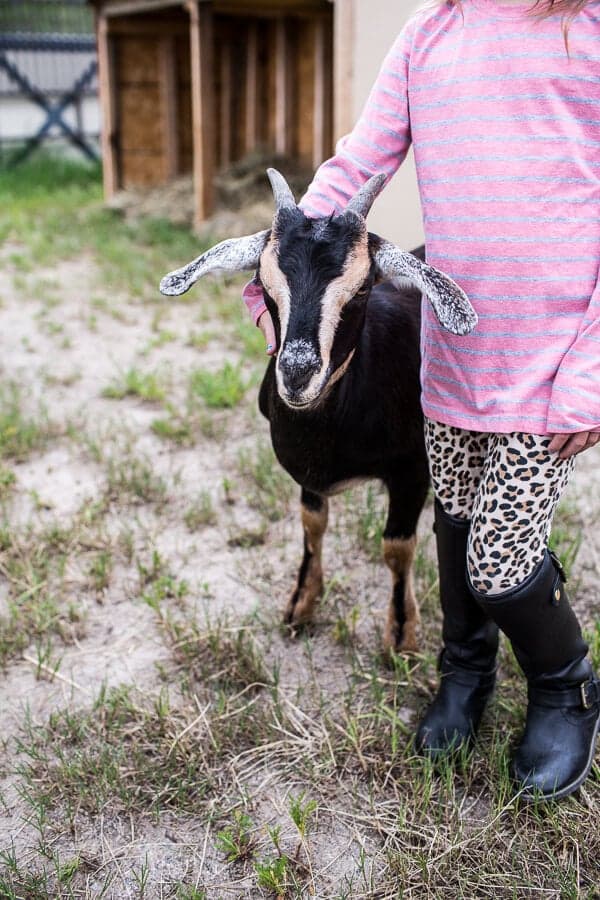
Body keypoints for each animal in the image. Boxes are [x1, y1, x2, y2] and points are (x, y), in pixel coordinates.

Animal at [160, 169, 476, 653]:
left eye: (363, 287)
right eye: (261, 280)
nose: (296, 373)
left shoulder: (413, 469)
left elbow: (396, 547)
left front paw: (401, 633)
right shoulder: (307, 475)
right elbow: (312, 524)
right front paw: (302, 603)